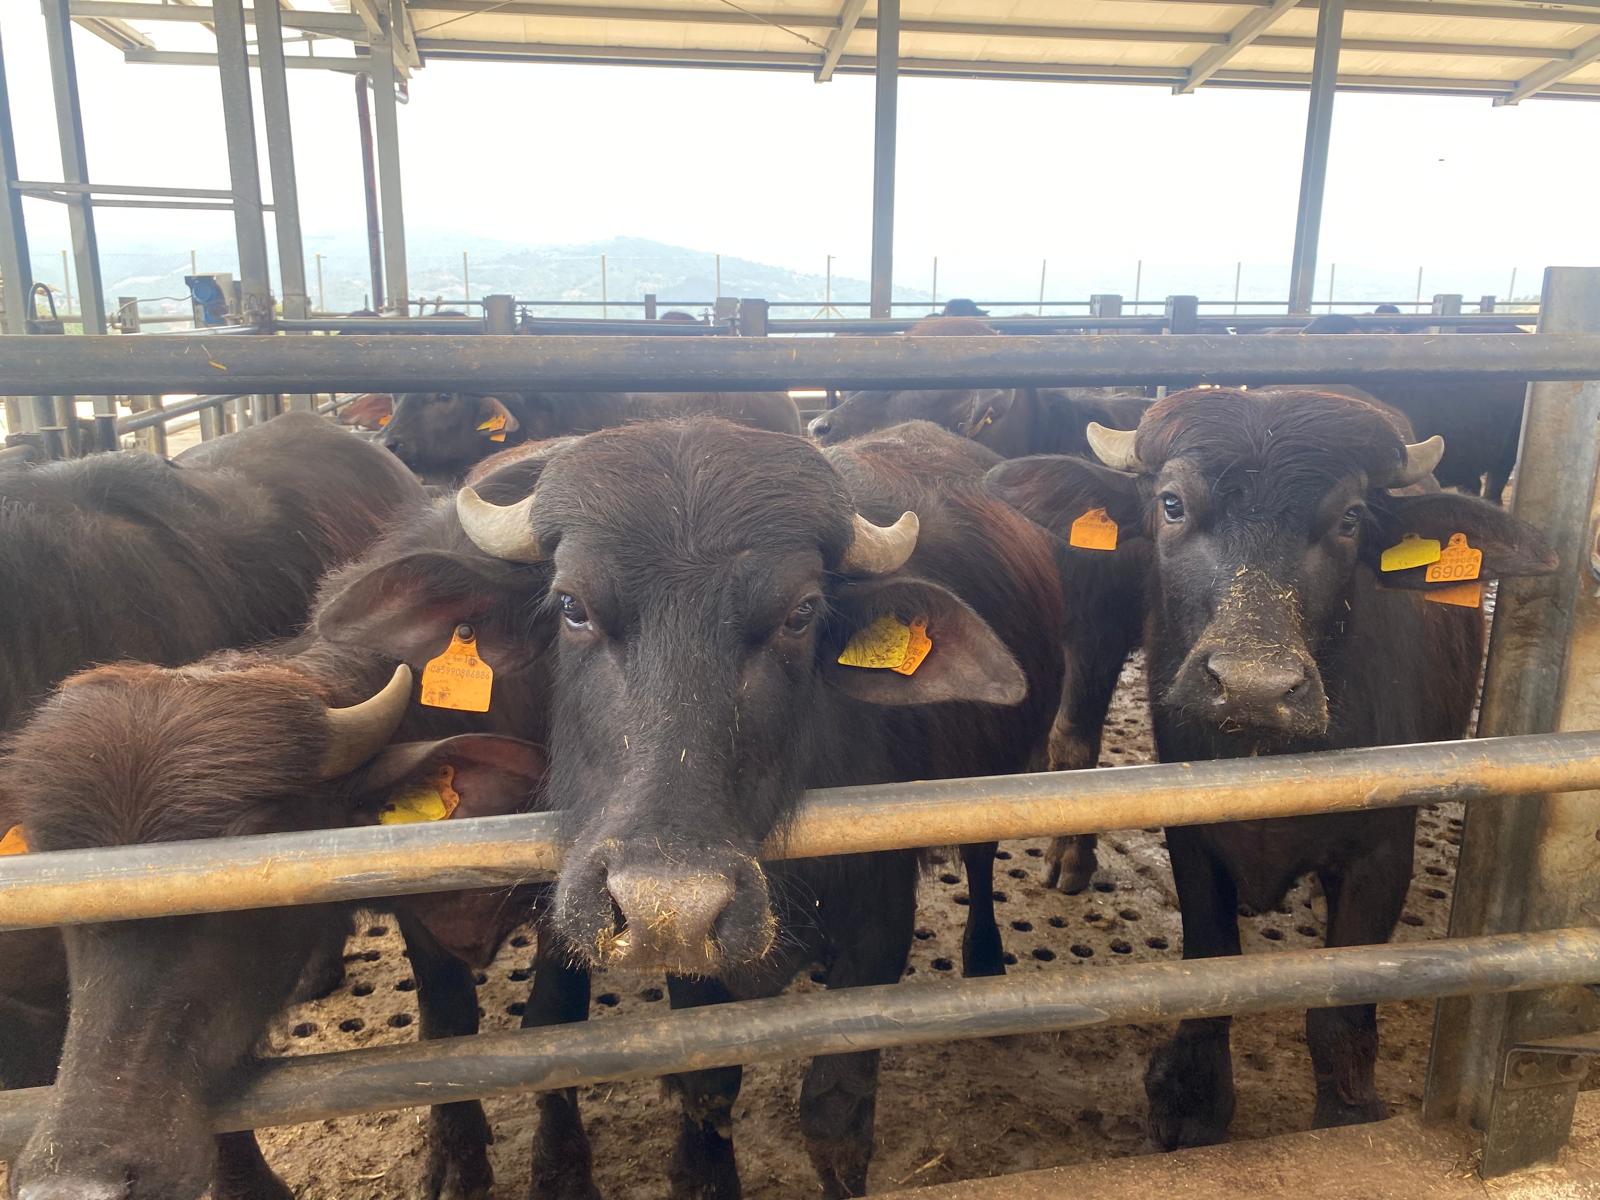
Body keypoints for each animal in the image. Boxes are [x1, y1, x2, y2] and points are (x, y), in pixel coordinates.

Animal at [989, 387, 1554, 1147]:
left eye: (1349, 518)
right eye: (1172, 504)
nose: (1253, 686)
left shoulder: (1382, 853)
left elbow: (1341, 1012)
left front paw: (1347, 1114)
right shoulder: (1192, 839)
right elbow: (1210, 964)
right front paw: (1194, 1102)